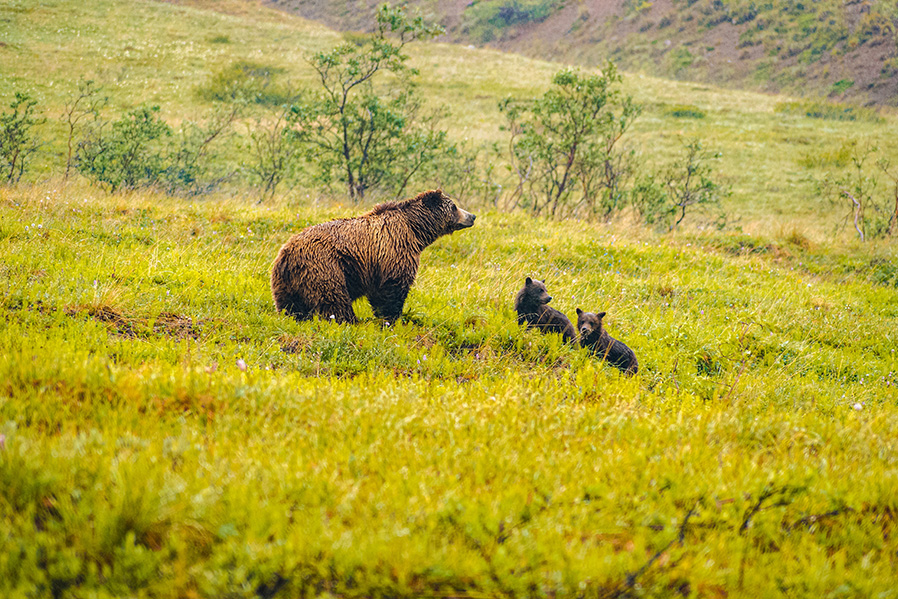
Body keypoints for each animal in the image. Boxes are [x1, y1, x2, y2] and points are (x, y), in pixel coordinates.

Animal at [270, 189, 476, 323]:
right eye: (454, 206)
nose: (472, 216)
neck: (415, 231)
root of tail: (287, 254)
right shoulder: (393, 252)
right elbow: (392, 289)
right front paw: (392, 318)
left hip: (285, 283)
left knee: (290, 306)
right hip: (325, 266)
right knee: (334, 299)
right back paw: (350, 320)